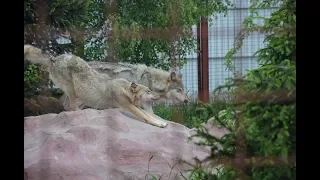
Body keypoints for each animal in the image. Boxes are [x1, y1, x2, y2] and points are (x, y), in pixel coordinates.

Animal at [24, 44, 169, 127]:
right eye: (149, 91)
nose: (160, 95)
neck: (124, 89)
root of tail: (54, 58)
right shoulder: (128, 106)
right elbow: (146, 116)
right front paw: (160, 124)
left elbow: (149, 114)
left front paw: (161, 121)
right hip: (72, 89)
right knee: (70, 107)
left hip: (82, 95)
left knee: (68, 106)